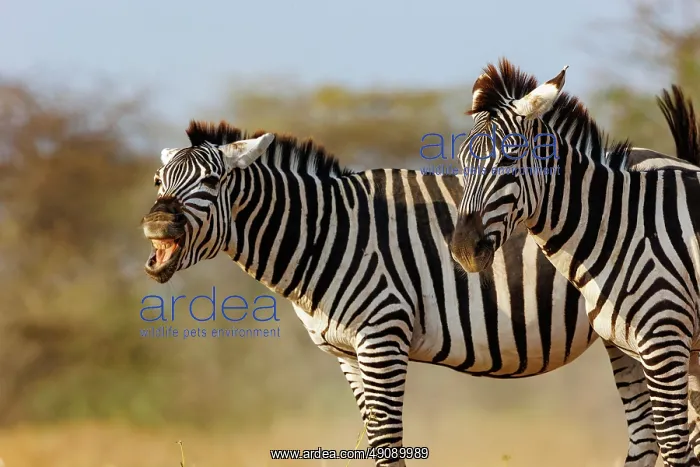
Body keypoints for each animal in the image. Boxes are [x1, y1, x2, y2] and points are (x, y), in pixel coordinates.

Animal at [140, 105, 697, 466]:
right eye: (158, 182)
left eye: (212, 184)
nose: (156, 222)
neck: (327, 234)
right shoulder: (346, 353)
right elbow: (373, 441)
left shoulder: (382, 337)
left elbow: (390, 445)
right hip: (624, 338)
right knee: (649, 437)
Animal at [449, 58, 700, 467]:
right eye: (463, 162)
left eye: (509, 158)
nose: (463, 249)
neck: (622, 230)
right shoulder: (637, 350)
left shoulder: (665, 342)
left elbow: (675, 448)